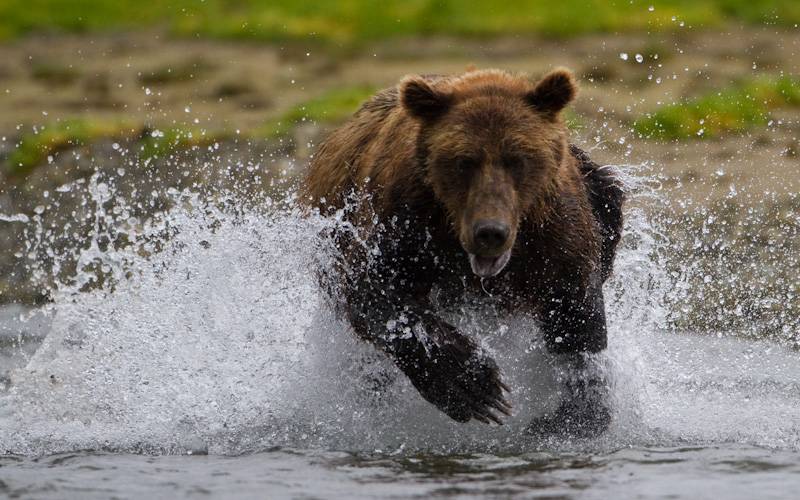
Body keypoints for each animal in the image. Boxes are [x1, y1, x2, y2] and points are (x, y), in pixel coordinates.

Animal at [300, 67, 624, 438]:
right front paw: (474, 385)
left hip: (600, 194)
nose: (490, 232)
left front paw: (571, 417)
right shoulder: (404, 221)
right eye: (463, 162)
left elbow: (575, 314)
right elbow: (374, 289)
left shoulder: (555, 232)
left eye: (518, 159)